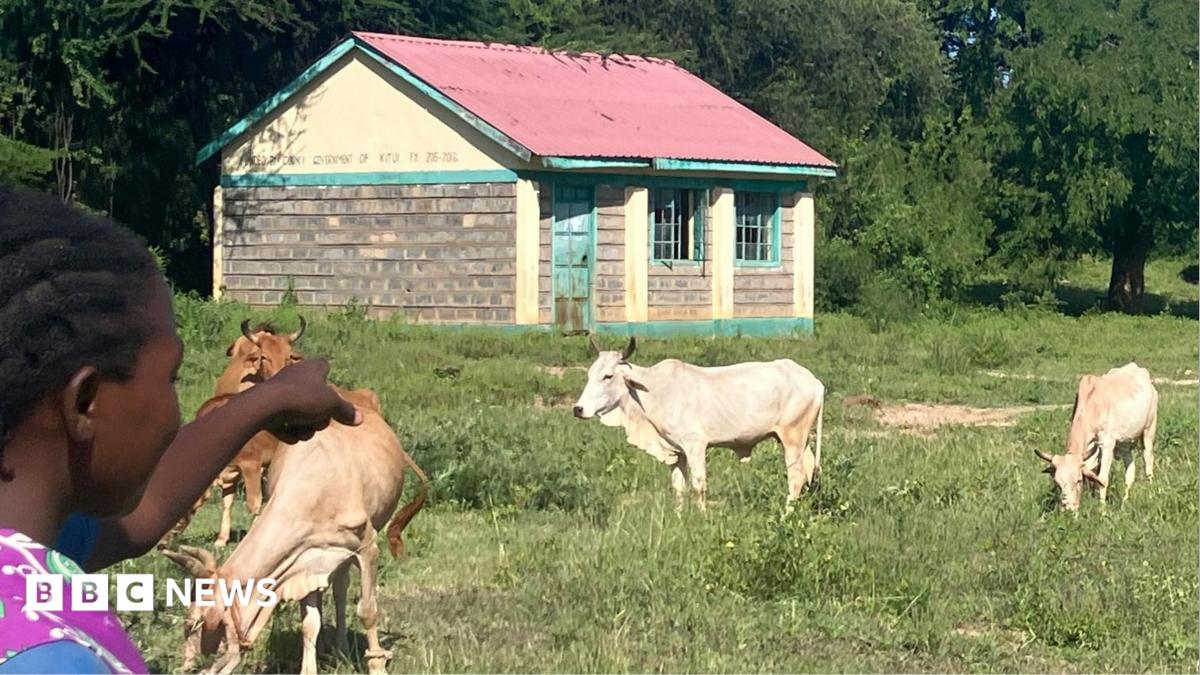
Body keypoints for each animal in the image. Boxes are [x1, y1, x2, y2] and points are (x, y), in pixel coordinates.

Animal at [163, 386, 428, 675]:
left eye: (195, 623)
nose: (188, 668)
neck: (315, 489)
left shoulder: (367, 546)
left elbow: (367, 611)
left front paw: (377, 665)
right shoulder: (304, 559)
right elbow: (310, 623)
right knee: (339, 589)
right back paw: (337, 649)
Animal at [572, 337, 825, 510]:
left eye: (608, 376)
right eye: (589, 374)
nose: (578, 409)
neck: (653, 391)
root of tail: (815, 381)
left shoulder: (695, 446)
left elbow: (698, 485)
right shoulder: (677, 453)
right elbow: (679, 488)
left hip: (792, 438)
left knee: (796, 477)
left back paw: (786, 515)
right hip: (800, 441)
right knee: (809, 471)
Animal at [1036, 362, 1158, 512]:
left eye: (1078, 480)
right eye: (1058, 483)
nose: (1068, 508)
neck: (1092, 405)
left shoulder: (1107, 445)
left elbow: (1102, 479)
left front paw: (1102, 510)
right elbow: (1093, 476)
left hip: (1148, 431)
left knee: (1148, 462)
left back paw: (1151, 494)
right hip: (1124, 445)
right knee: (1130, 472)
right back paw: (1124, 504)